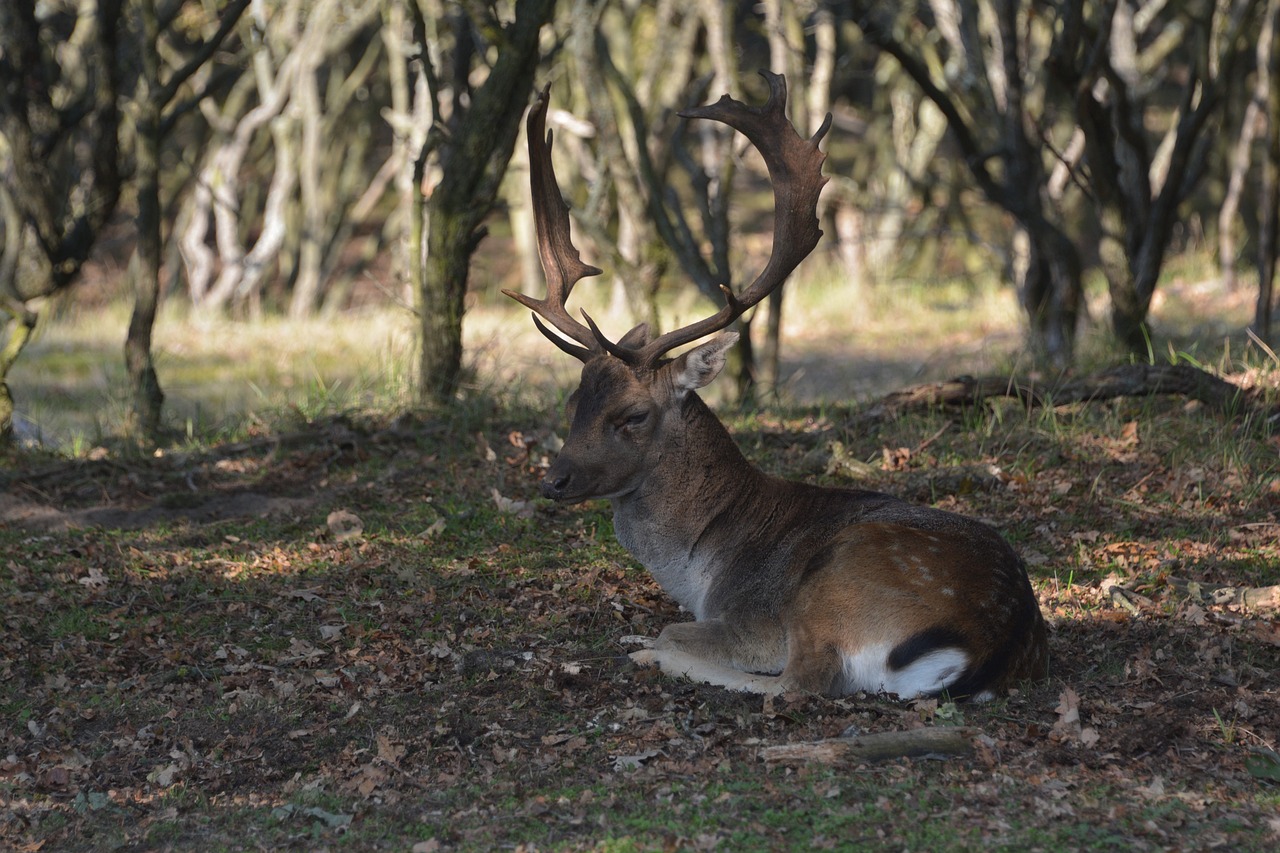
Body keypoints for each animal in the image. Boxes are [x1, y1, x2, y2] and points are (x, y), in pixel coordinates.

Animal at [509, 71, 1049, 696]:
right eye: (575, 400)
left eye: (634, 414)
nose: (554, 481)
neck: (700, 569)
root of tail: (990, 644)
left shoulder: (753, 618)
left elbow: (677, 630)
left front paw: (646, 643)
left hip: (835, 583)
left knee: (801, 681)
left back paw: (649, 656)